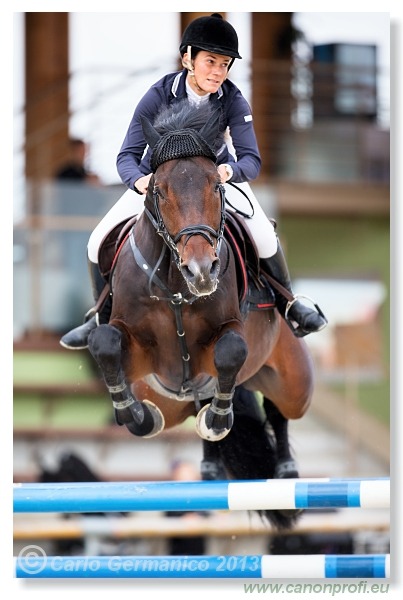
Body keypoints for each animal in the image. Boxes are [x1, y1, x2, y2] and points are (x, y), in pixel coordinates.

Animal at [87, 102, 316, 528]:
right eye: (159, 191)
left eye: (216, 186)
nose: (202, 271)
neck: (175, 284)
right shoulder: (138, 351)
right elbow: (106, 341)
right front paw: (137, 416)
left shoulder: (228, 336)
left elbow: (229, 352)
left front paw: (218, 420)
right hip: (170, 401)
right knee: (192, 406)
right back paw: (206, 466)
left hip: (295, 382)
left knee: (279, 408)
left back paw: (286, 471)